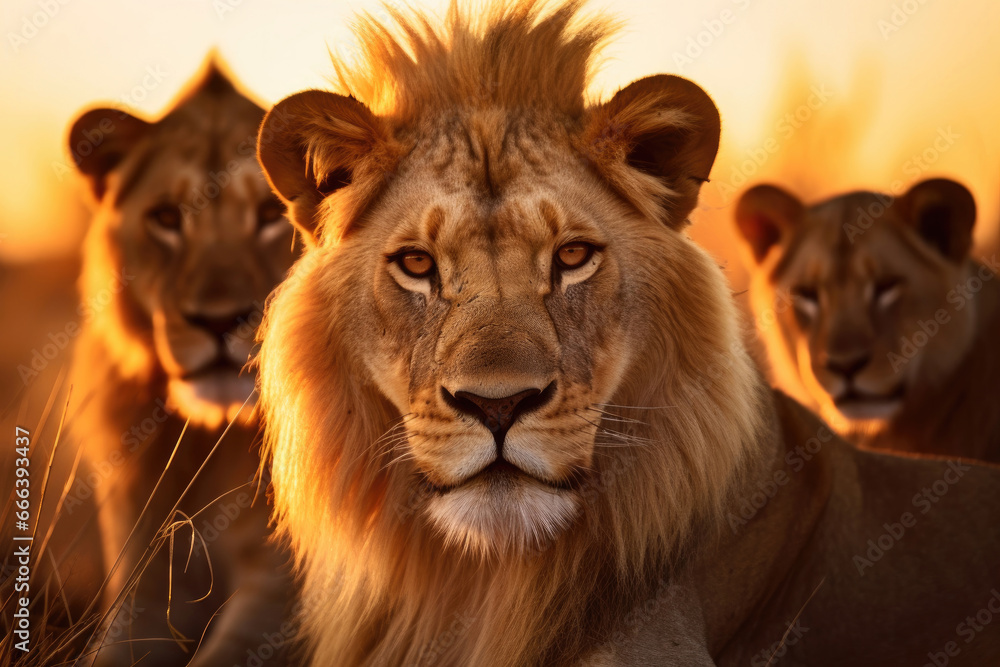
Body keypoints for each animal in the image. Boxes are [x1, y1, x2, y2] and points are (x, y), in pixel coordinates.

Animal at [48, 60, 296, 664]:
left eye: (272, 214)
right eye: (165, 218)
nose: (218, 320)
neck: (217, 442)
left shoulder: (287, 598)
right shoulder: (146, 584)